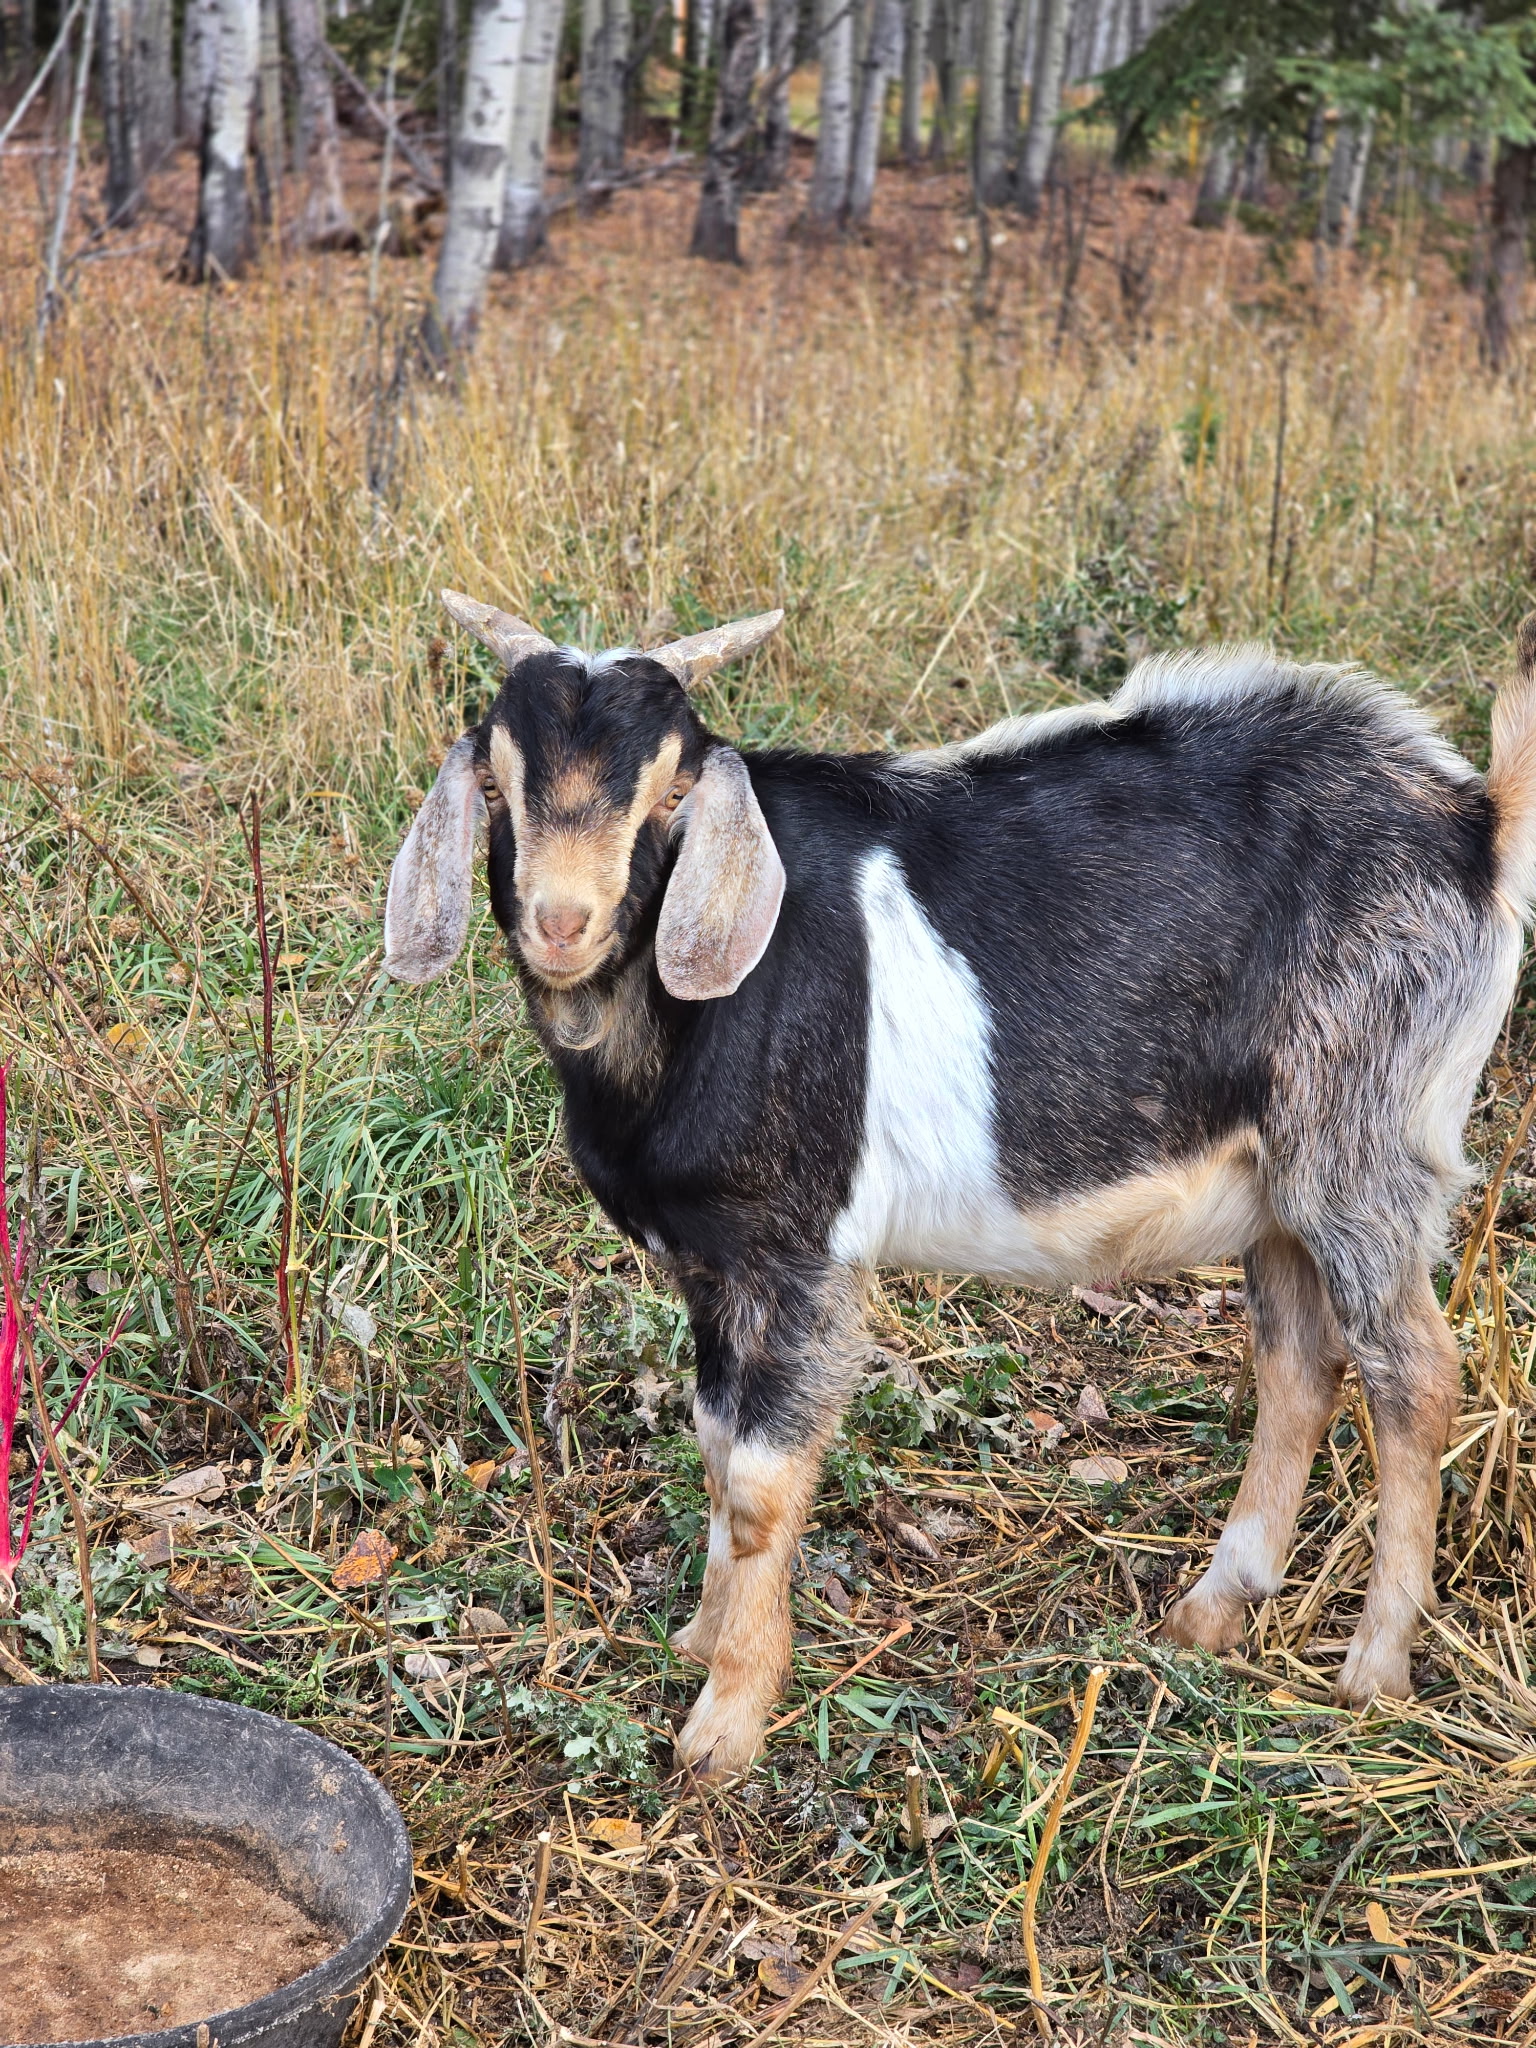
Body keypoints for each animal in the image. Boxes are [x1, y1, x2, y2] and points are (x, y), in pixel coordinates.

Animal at [384, 592, 1536, 1779]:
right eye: (495, 785)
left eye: (671, 793)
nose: (561, 922)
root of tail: (1473, 821)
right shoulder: (711, 1262)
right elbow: (711, 1437)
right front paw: (701, 1633)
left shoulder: (800, 1251)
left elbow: (757, 1479)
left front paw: (725, 1723)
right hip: (1277, 1183)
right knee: (1302, 1363)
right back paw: (1212, 1610)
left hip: (1362, 1138)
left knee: (1413, 1373)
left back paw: (1375, 1664)